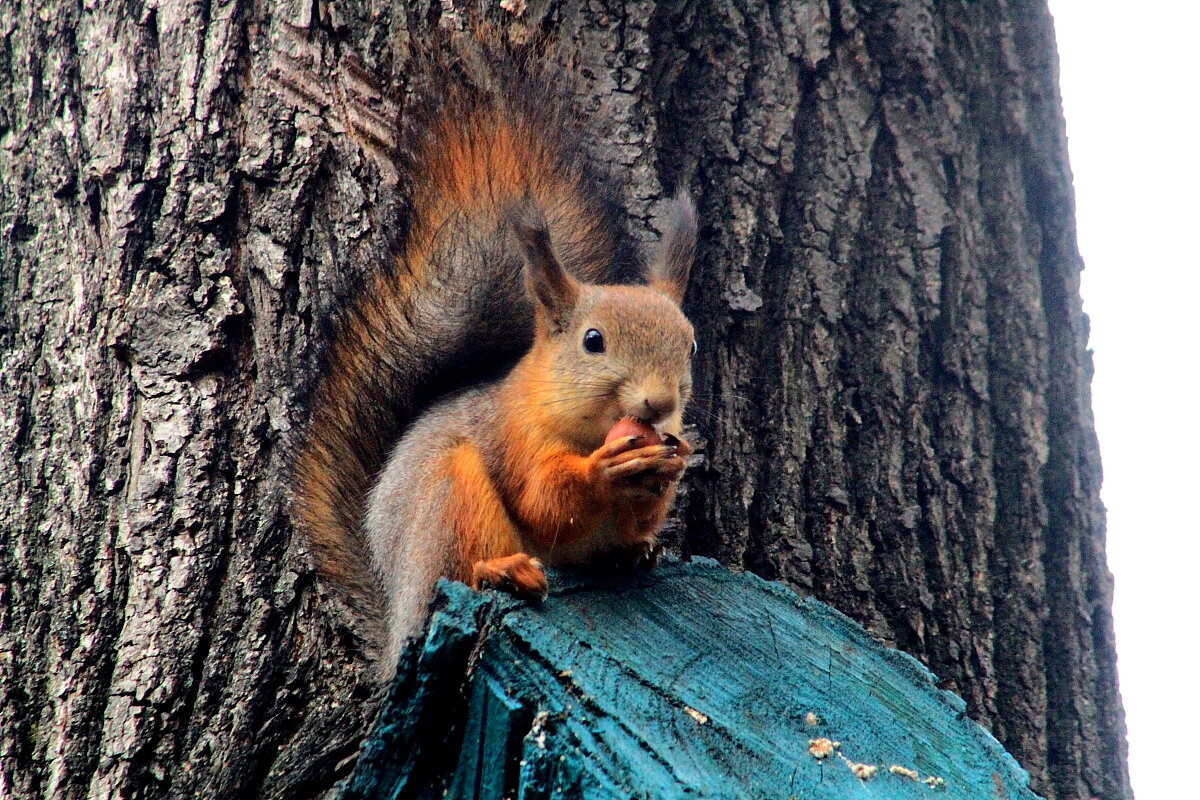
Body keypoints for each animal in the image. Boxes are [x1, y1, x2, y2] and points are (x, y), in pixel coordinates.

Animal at [290, 38, 700, 676]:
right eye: (593, 341)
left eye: (691, 345)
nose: (658, 405)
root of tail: (396, 621)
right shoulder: (513, 435)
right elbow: (544, 505)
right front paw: (604, 471)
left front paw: (669, 470)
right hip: (447, 501)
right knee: (459, 571)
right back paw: (500, 571)